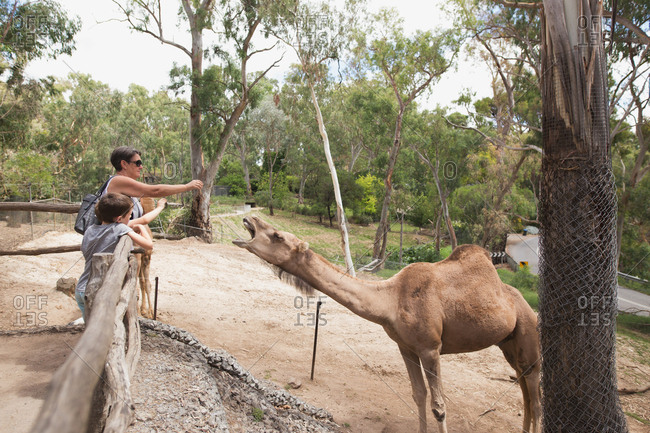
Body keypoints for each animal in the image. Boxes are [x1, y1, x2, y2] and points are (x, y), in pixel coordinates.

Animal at [233, 216, 541, 433]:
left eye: (277, 235)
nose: (250, 220)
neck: (391, 300)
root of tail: (525, 306)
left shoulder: (430, 348)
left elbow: (439, 406)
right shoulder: (406, 347)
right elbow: (418, 396)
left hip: (528, 332)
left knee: (535, 398)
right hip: (508, 344)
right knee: (525, 391)